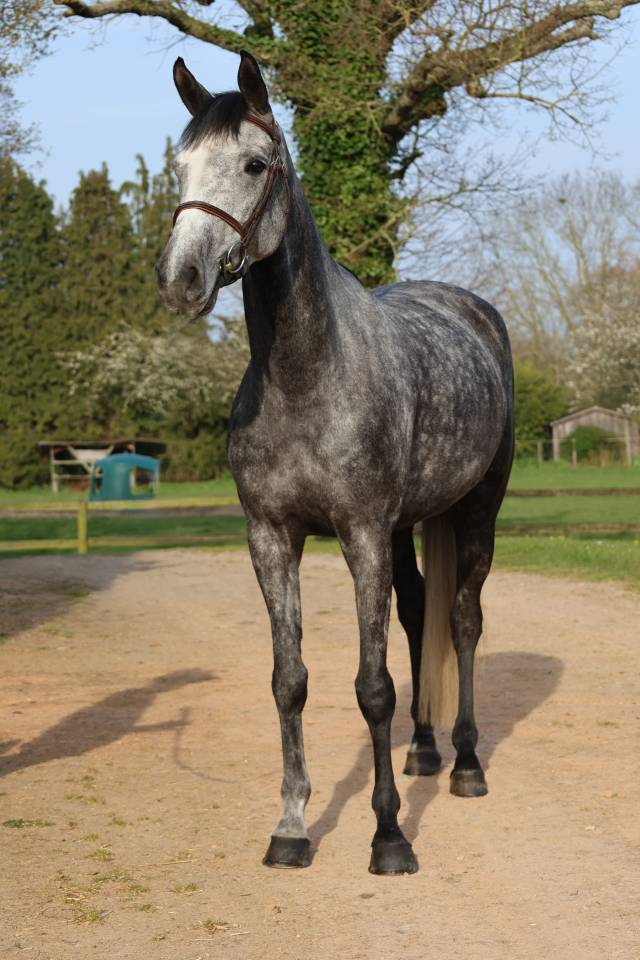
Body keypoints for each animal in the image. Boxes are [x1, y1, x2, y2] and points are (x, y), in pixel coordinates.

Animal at [157, 51, 514, 876]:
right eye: (180, 165)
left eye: (255, 165)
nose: (182, 279)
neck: (306, 375)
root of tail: (474, 313)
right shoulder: (271, 538)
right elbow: (290, 682)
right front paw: (291, 825)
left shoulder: (360, 535)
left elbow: (372, 687)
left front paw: (388, 838)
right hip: (410, 525)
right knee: (419, 615)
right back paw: (423, 752)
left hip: (476, 510)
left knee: (463, 620)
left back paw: (467, 764)